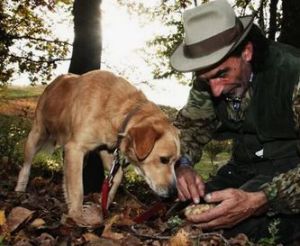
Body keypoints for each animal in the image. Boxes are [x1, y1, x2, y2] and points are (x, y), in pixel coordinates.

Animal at [15, 69, 180, 227]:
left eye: (176, 162)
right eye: (164, 159)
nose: (173, 193)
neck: (119, 110)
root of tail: (56, 80)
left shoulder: (106, 151)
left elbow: (115, 179)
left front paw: (104, 206)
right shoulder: (75, 149)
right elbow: (78, 189)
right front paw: (76, 216)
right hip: (37, 135)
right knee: (26, 167)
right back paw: (20, 190)